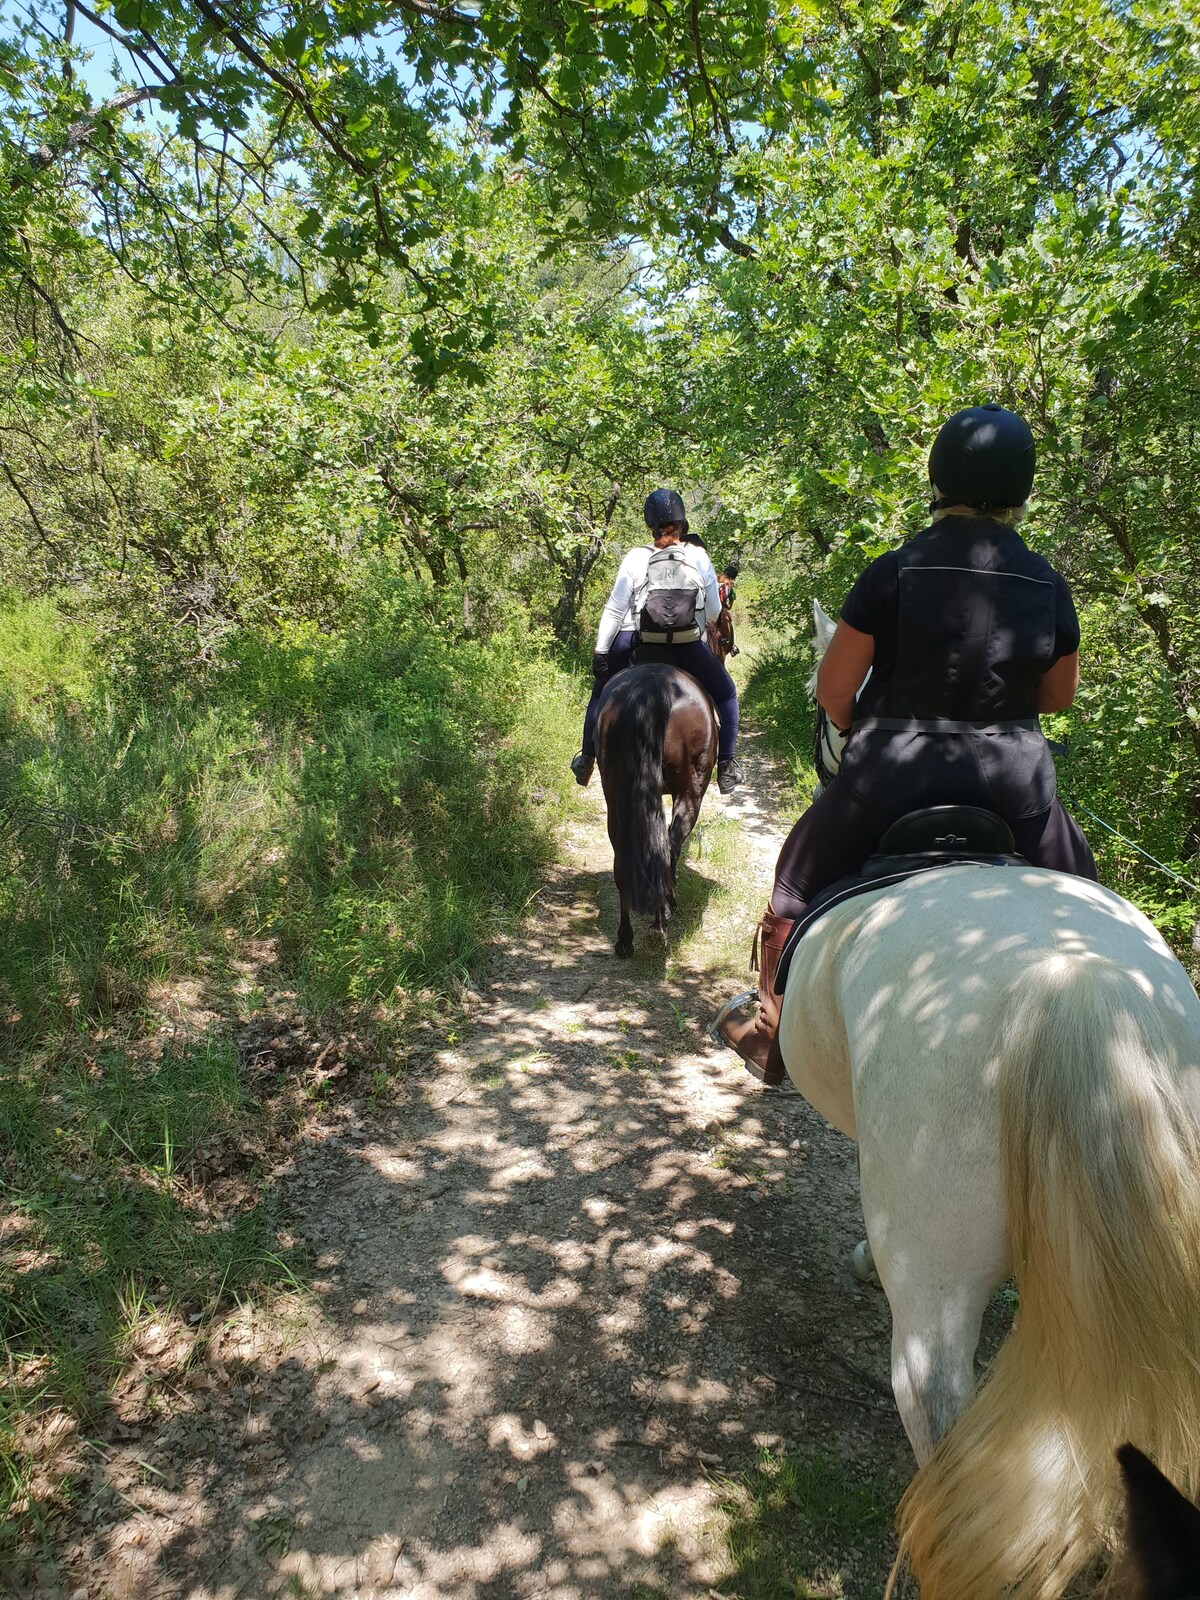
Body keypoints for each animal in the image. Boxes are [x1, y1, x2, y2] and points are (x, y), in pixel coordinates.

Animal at [598, 665, 720, 960]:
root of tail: (653, 686)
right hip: (692, 791)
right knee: (668, 846)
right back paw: (662, 919)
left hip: (616, 798)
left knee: (624, 858)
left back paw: (626, 940)